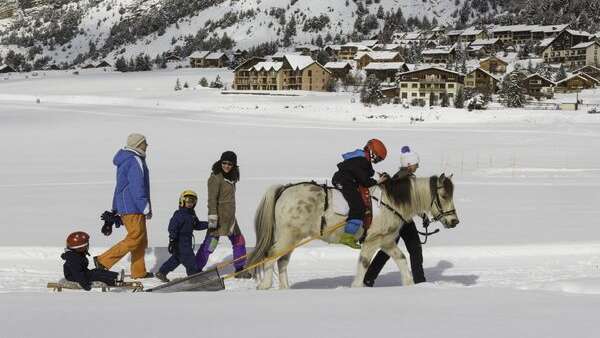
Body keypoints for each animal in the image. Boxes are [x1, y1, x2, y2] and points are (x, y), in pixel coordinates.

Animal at [245, 176, 460, 290]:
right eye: (443, 195)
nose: (454, 221)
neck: (390, 202)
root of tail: (284, 190)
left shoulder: (387, 241)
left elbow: (401, 259)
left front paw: (409, 284)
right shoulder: (372, 241)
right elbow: (364, 264)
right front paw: (357, 287)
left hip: (292, 238)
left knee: (281, 260)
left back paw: (285, 288)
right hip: (288, 237)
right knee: (271, 256)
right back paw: (265, 285)